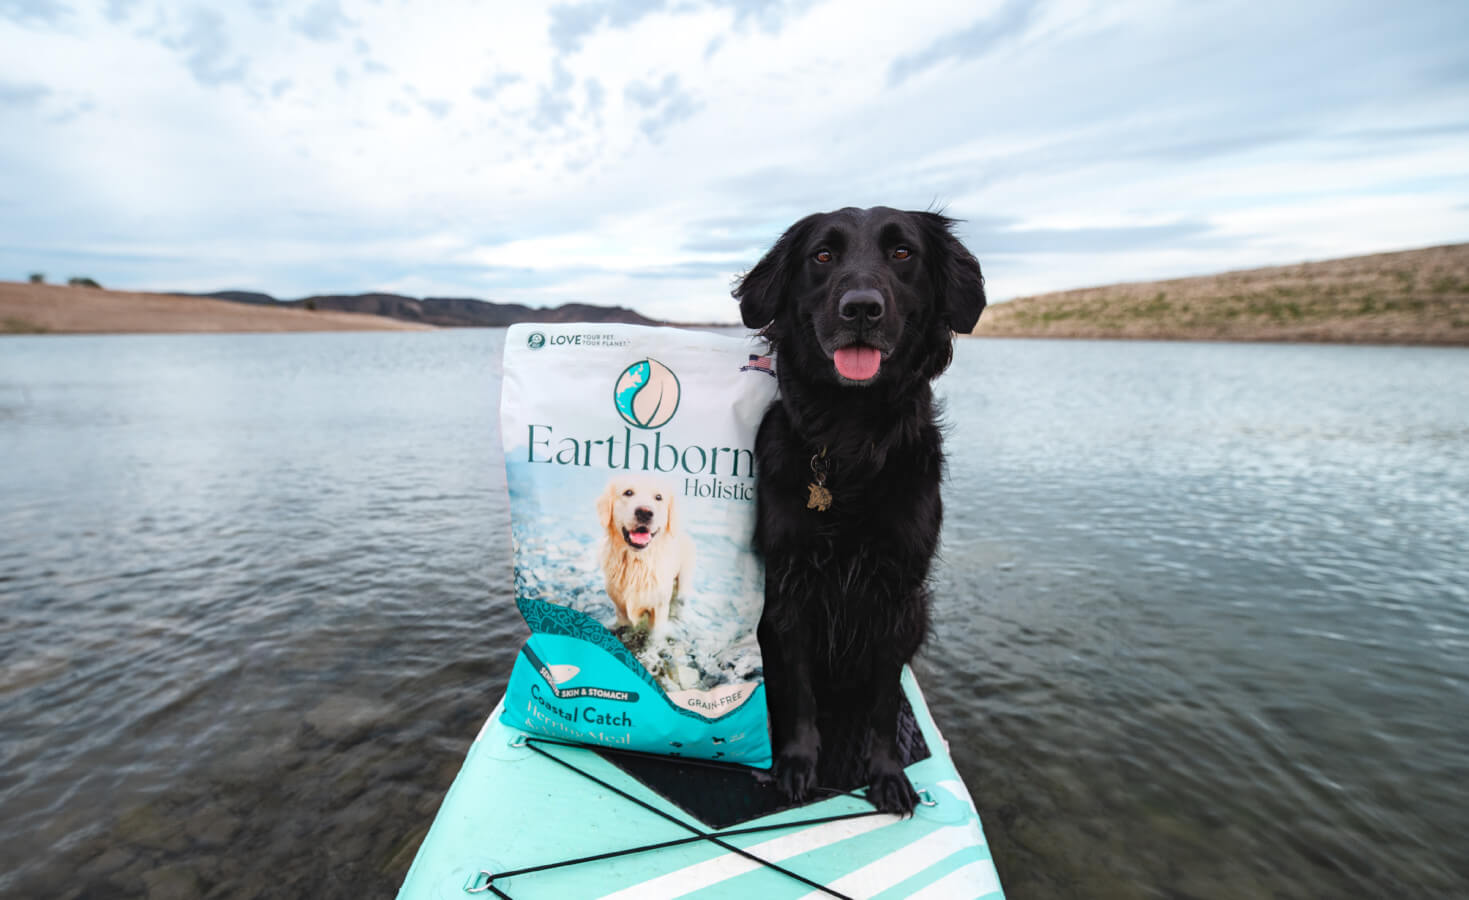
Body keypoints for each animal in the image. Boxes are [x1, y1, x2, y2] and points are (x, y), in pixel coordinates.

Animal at [734, 205, 987, 816]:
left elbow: (883, 700)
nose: (862, 308)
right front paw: (797, 764)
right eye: (822, 255)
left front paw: (887, 773)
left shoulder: (896, 593)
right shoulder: (790, 586)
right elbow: (800, 691)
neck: (849, 439)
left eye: (902, 252)